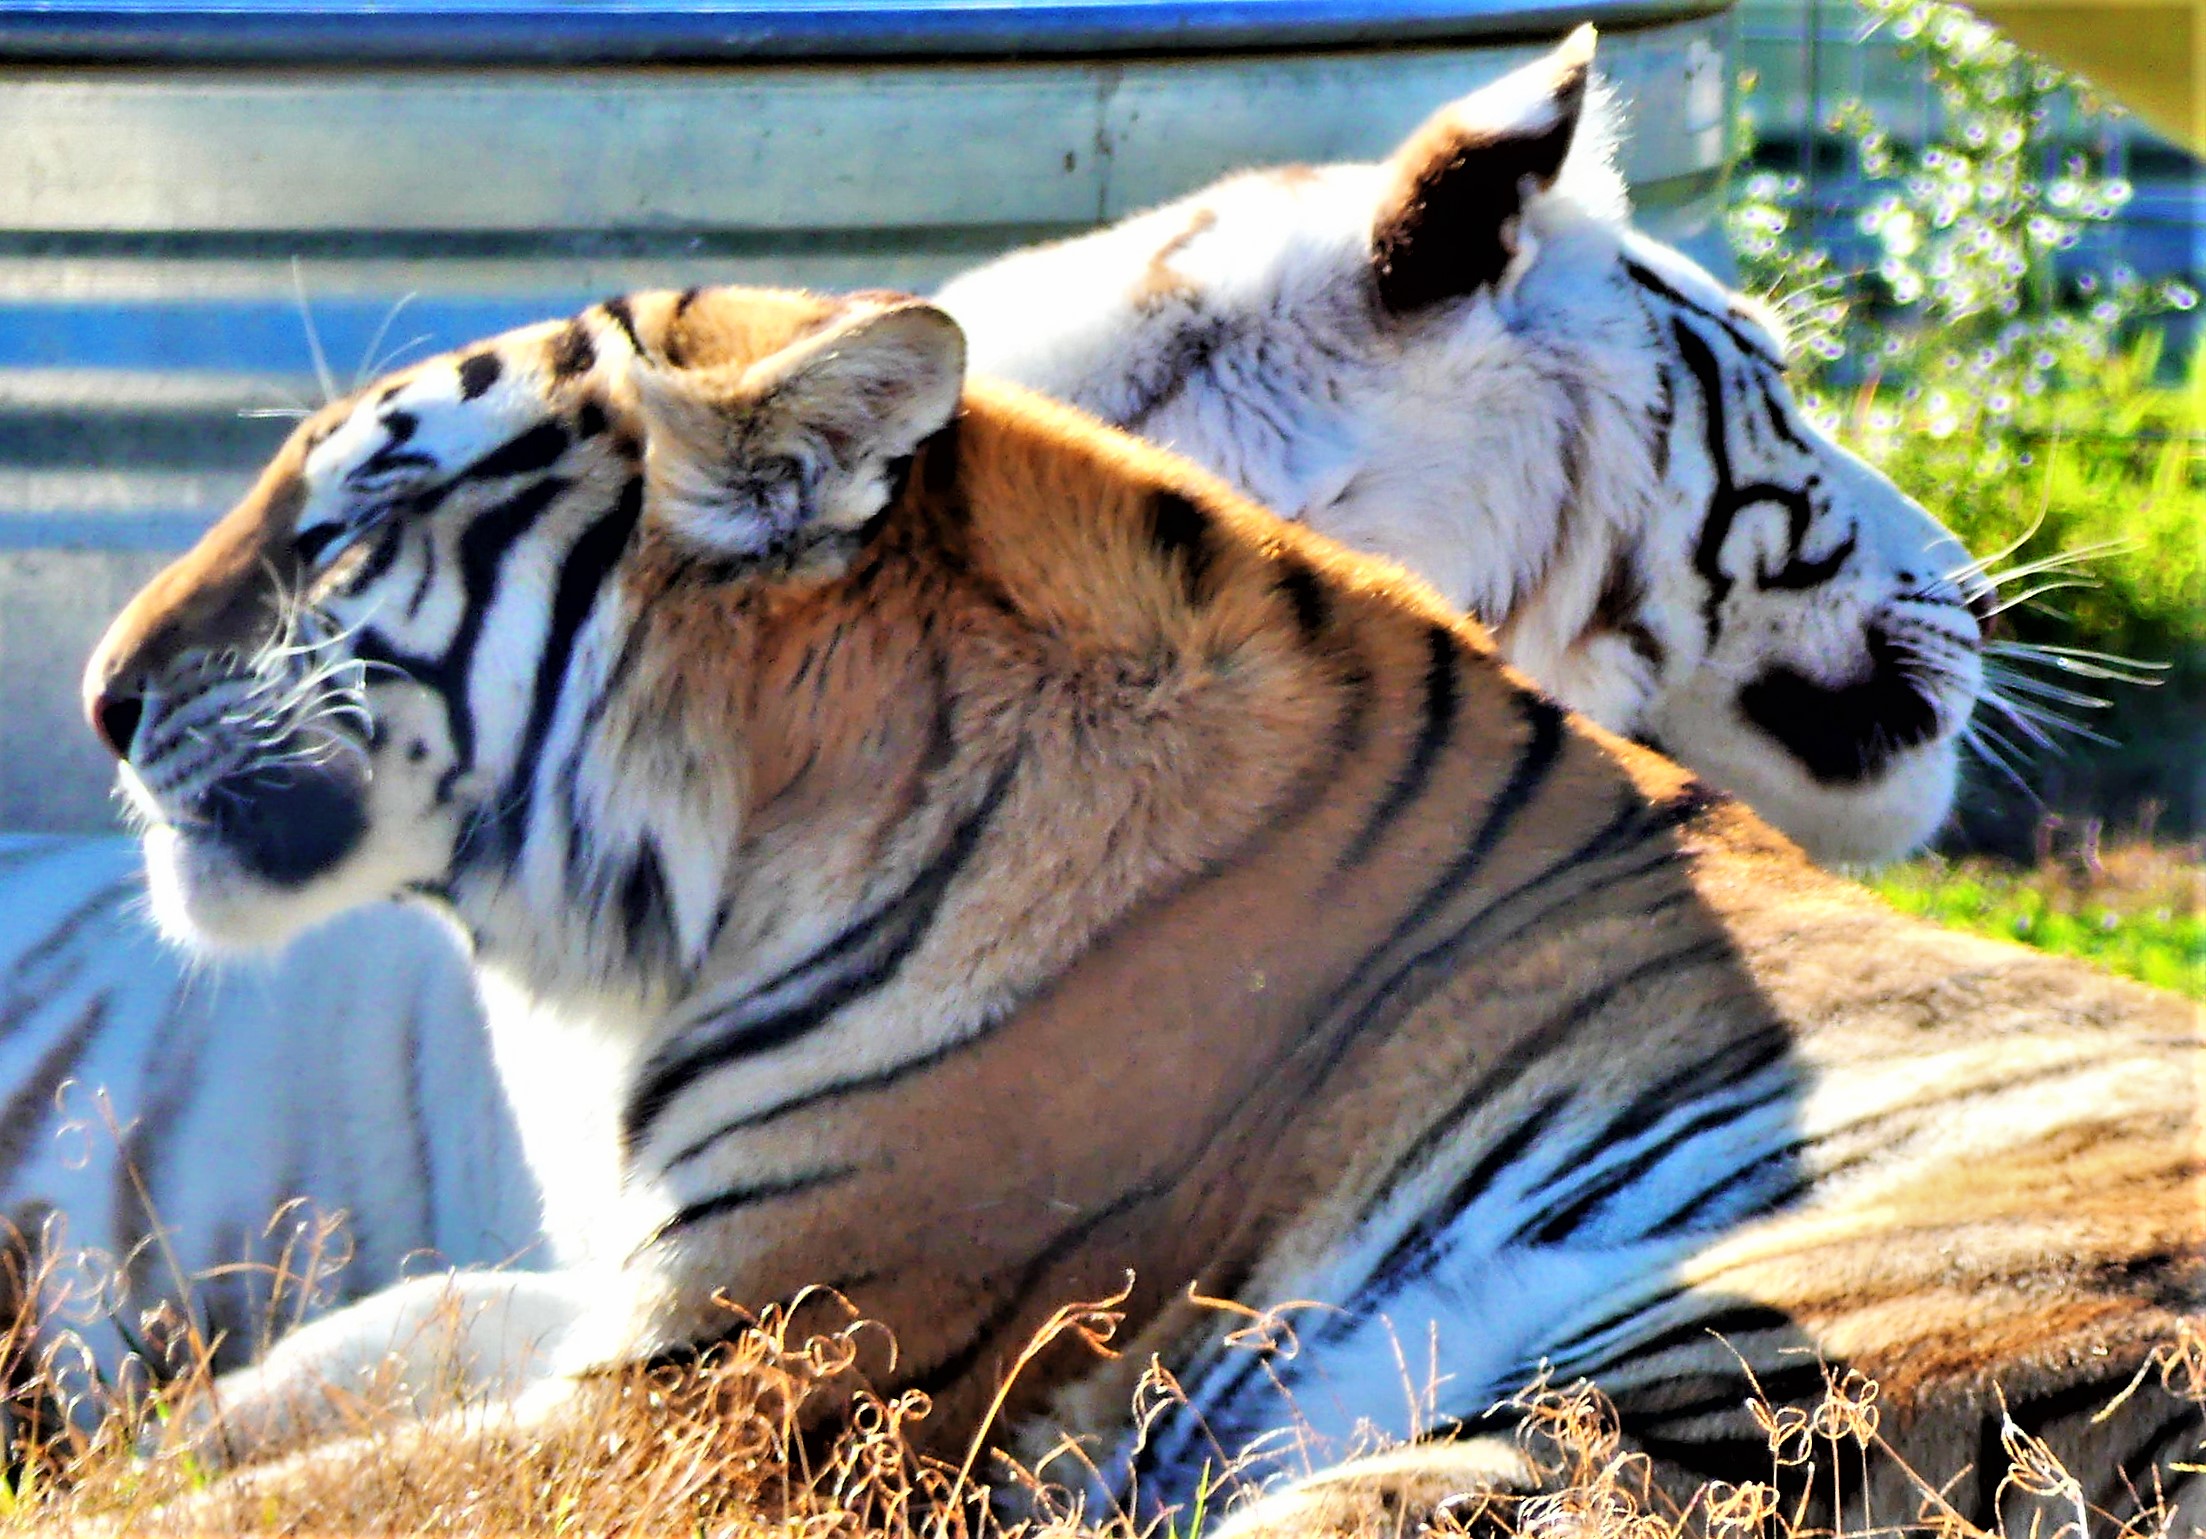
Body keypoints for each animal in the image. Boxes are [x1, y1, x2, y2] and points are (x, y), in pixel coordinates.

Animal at [80, 174, 2203, 1539]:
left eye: (345, 529)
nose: (99, 697)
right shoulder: (638, 1304)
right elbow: (326, 1357)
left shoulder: (751, 1375)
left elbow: (283, 1494)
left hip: (1620, 1406)